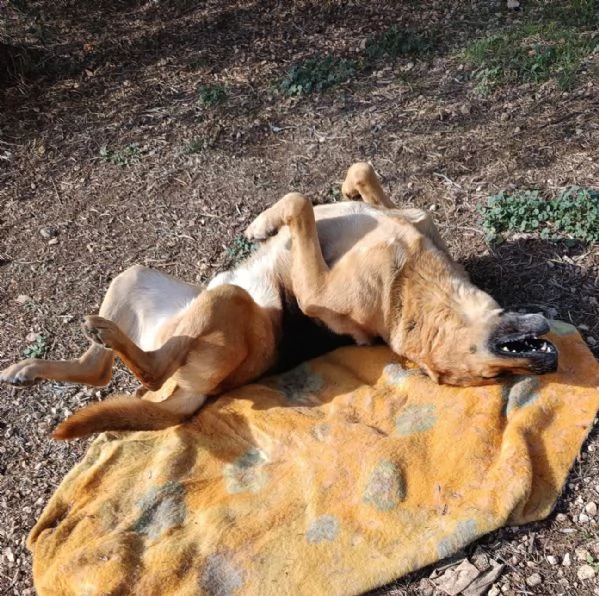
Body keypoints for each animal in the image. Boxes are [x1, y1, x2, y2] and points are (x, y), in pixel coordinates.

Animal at [0, 163, 556, 438]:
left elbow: (299, 202)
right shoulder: (405, 216)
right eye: (494, 373)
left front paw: (261, 224)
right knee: (100, 371)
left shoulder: (315, 290)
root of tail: (194, 392)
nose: (548, 365)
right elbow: (360, 173)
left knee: (148, 375)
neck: (416, 288)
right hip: (136, 278)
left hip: (227, 302)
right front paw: (345, 190)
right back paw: (28, 369)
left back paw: (108, 343)